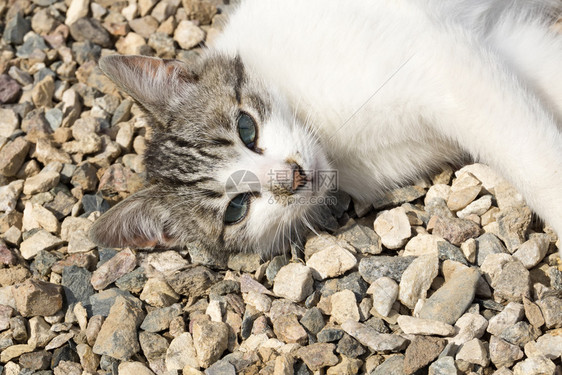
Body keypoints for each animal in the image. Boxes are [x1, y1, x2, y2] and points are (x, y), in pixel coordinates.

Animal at [88, 0, 560, 260]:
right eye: (236, 208)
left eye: (246, 127)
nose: (293, 177)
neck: (332, 139)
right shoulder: (491, 46)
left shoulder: (442, 62)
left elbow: (535, 161)